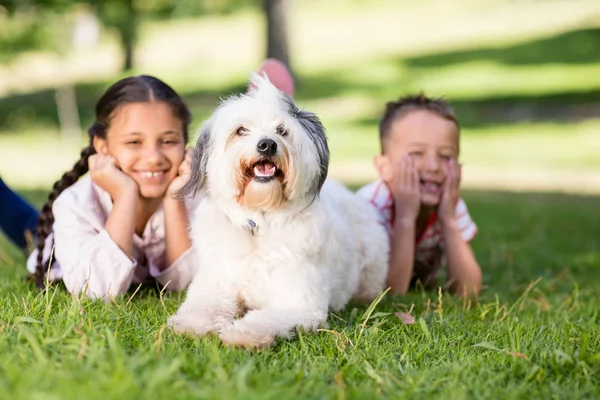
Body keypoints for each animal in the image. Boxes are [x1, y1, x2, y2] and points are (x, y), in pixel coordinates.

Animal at [168, 73, 390, 348]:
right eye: (241, 130)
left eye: (282, 130)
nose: (267, 145)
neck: (259, 222)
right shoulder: (215, 286)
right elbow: (203, 307)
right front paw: (192, 324)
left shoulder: (298, 303)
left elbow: (265, 318)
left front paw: (244, 334)